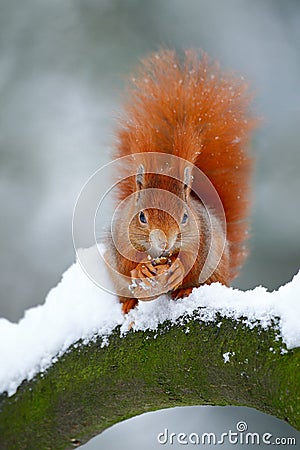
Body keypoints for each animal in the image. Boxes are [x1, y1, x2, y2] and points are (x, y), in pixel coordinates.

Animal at [104, 50, 256, 312]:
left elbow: (192, 260)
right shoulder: (119, 235)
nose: (164, 243)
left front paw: (177, 269)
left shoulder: (202, 234)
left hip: (217, 269)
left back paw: (186, 289)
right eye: (142, 217)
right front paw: (141, 269)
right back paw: (129, 303)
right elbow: (125, 263)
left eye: (185, 217)